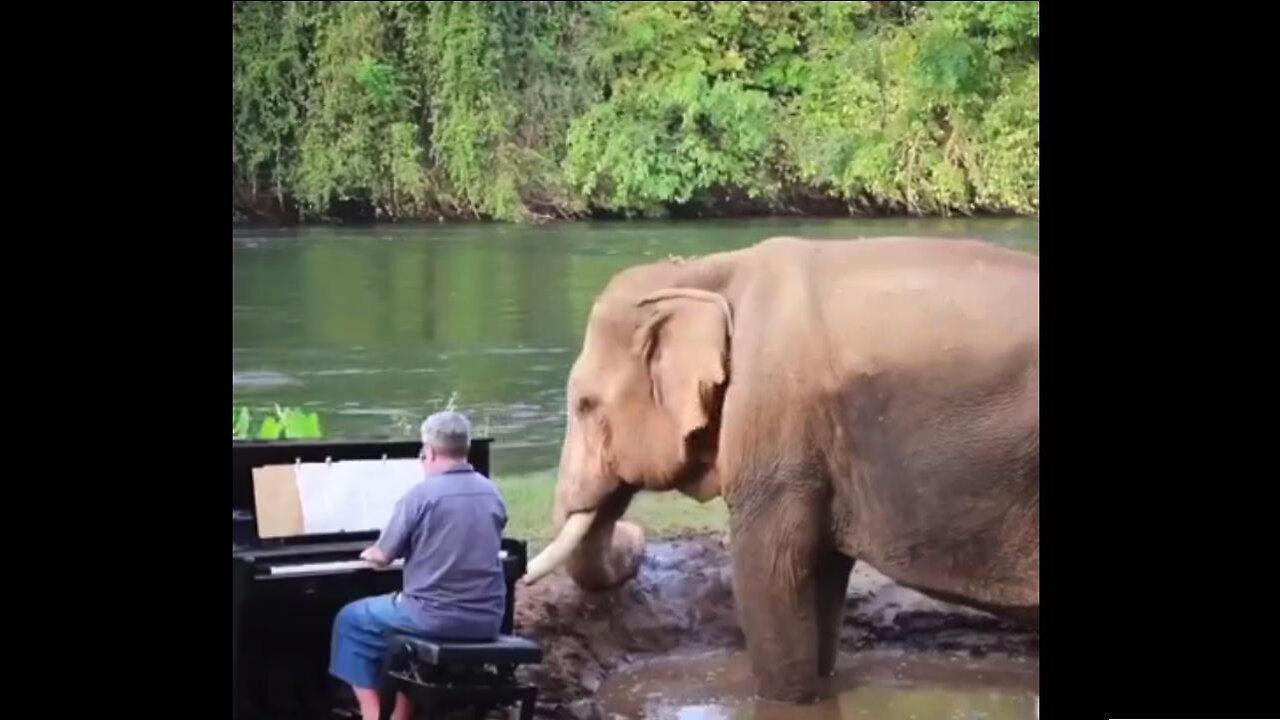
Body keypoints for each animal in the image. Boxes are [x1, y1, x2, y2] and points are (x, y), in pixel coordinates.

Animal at [522, 235, 1039, 702]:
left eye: (585, 405)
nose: (636, 538)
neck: (708, 269)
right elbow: (821, 572)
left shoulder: (774, 422)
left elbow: (769, 569)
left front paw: (787, 699)